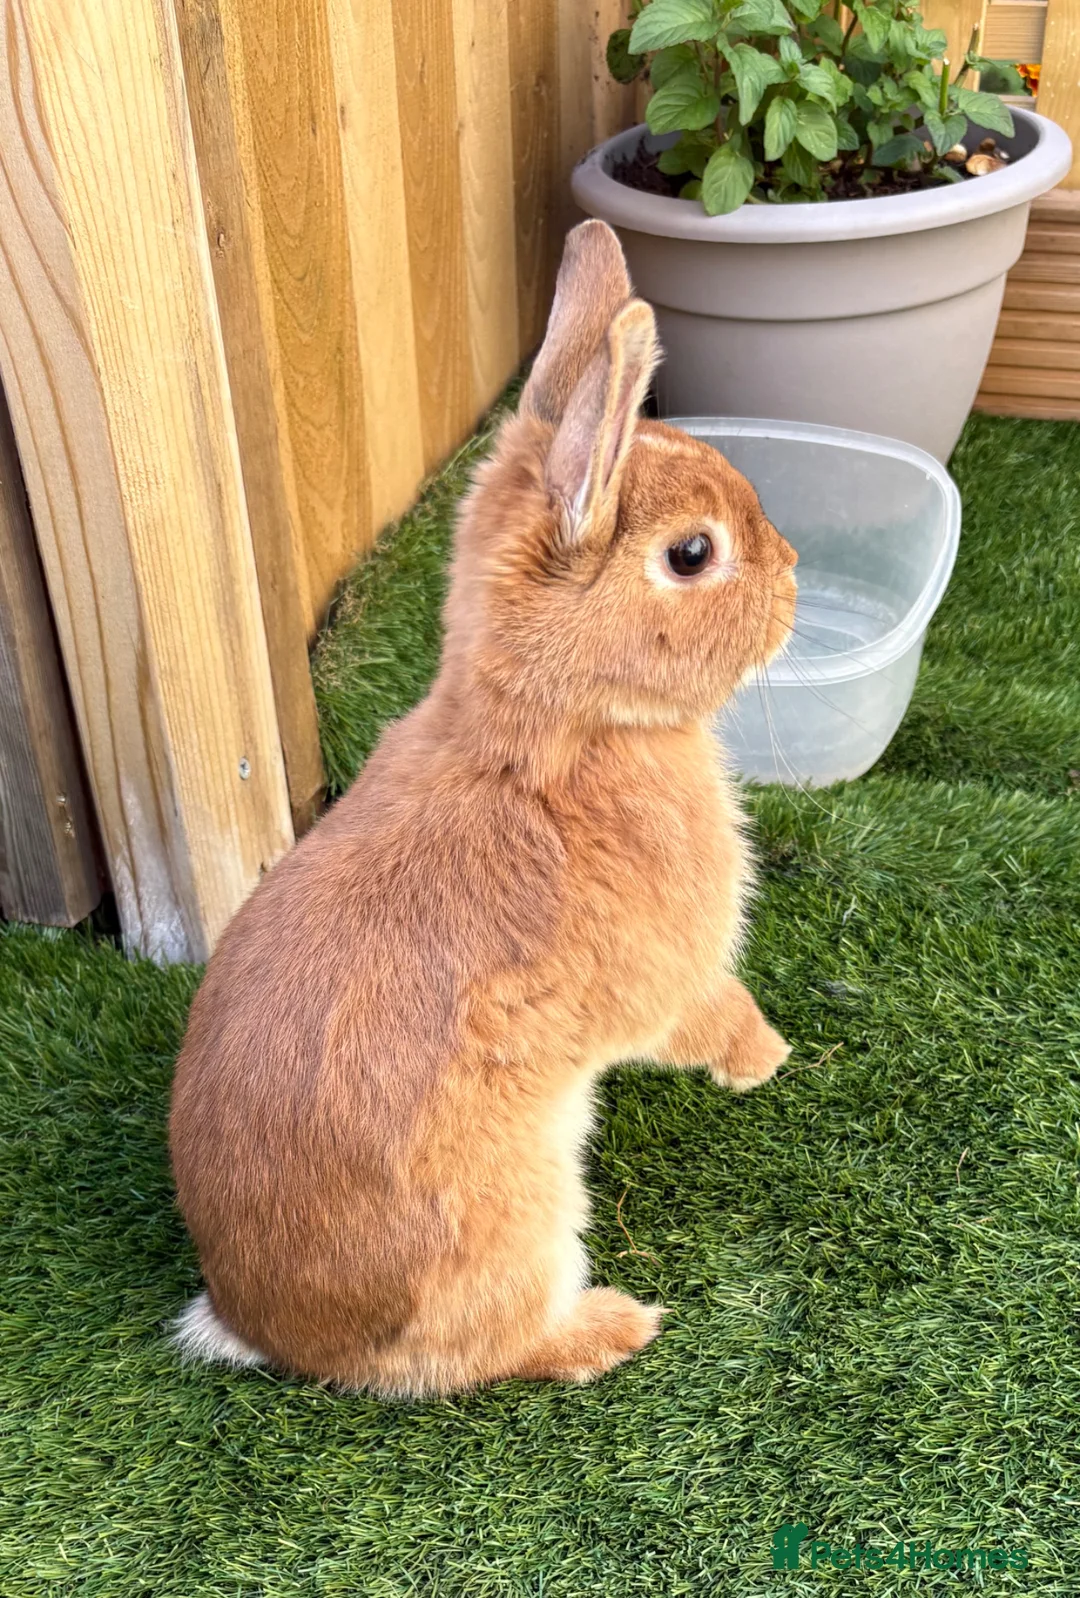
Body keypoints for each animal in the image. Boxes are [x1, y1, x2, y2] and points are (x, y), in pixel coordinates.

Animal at [168, 219, 797, 1398]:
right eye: (693, 554)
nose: (793, 573)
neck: (554, 739)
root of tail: (269, 1329)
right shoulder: (670, 976)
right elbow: (704, 1011)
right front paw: (767, 1060)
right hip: (524, 1210)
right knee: (502, 1347)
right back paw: (614, 1326)